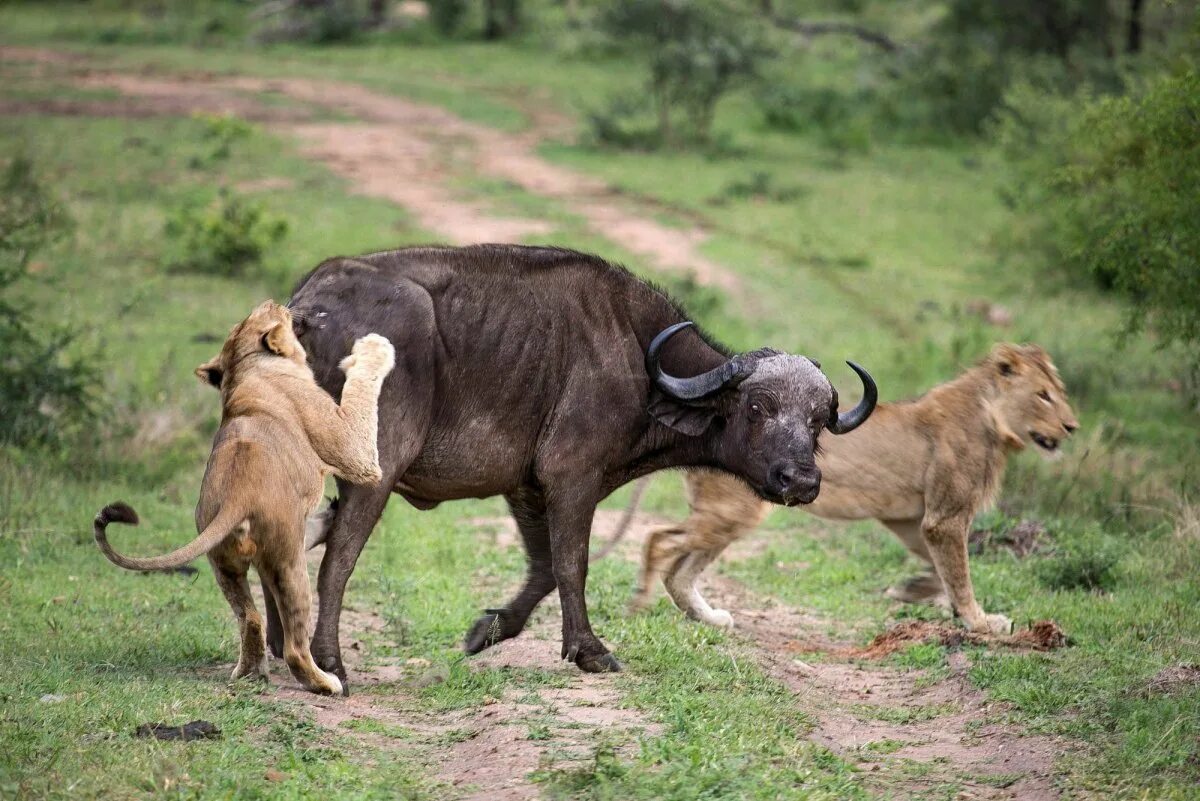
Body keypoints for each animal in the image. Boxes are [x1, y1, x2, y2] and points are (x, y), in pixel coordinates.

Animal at [94, 299, 393, 695]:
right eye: (274, 310)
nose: (279, 302)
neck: (245, 366)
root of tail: (238, 498)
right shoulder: (352, 448)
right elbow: (361, 392)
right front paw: (375, 348)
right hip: (287, 563)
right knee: (295, 645)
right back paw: (326, 683)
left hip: (223, 563)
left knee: (250, 618)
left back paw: (250, 673)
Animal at [284, 245, 878, 690]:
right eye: (756, 408)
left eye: (819, 421)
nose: (800, 481)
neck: (640, 358)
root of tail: (306, 308)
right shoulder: (572, 477)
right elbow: (573, 564)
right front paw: (590, 650)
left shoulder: (526, 488)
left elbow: (544, 567)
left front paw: (487, 630)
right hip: (374, 472)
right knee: (338, 557)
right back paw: (329, 664)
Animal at [628, 340, 1080, 633]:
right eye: (1043, 396)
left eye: (1059, 393)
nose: (1072, 427)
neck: (993, 421)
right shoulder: (945, 518)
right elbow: (961, 572)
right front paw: (980, 621)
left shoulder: (912, 519)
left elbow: (941, 569)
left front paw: (915, 590)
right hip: (732, 512)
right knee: (658, 541)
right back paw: (640, 606)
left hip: (731, 518)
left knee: (681, 569)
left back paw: (708, 618)